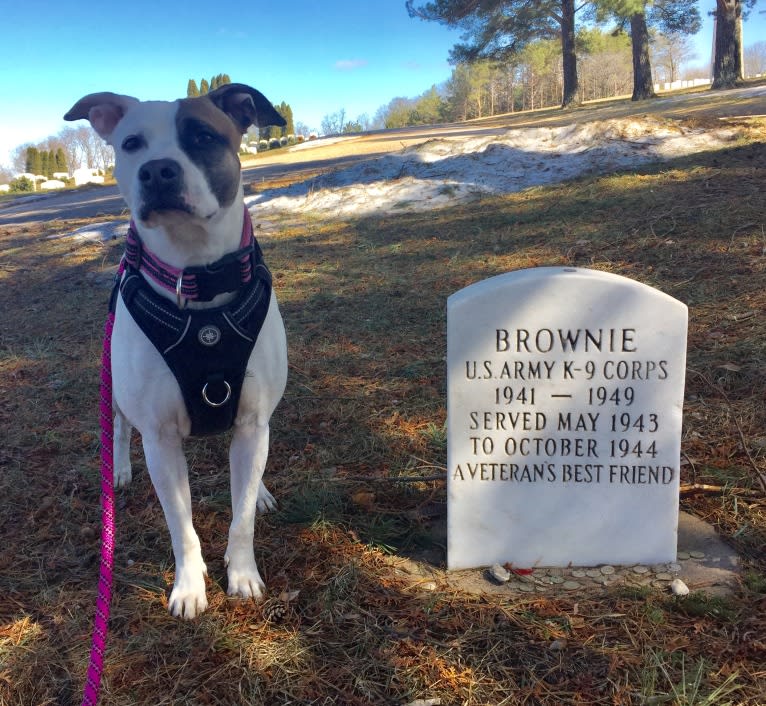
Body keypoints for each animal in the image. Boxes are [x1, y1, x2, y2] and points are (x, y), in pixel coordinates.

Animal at [64, 85, 288, 620]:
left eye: (202, 136)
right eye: (131, 144)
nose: (157, 170)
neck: (197, 274)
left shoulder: (252, 423)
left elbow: (241, 516)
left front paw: (242, 574)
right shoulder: (162, 440)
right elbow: (181, 526)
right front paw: (189, 587)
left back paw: (261, 490)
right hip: (117, 394)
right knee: (120, 429)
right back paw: (121, 470)